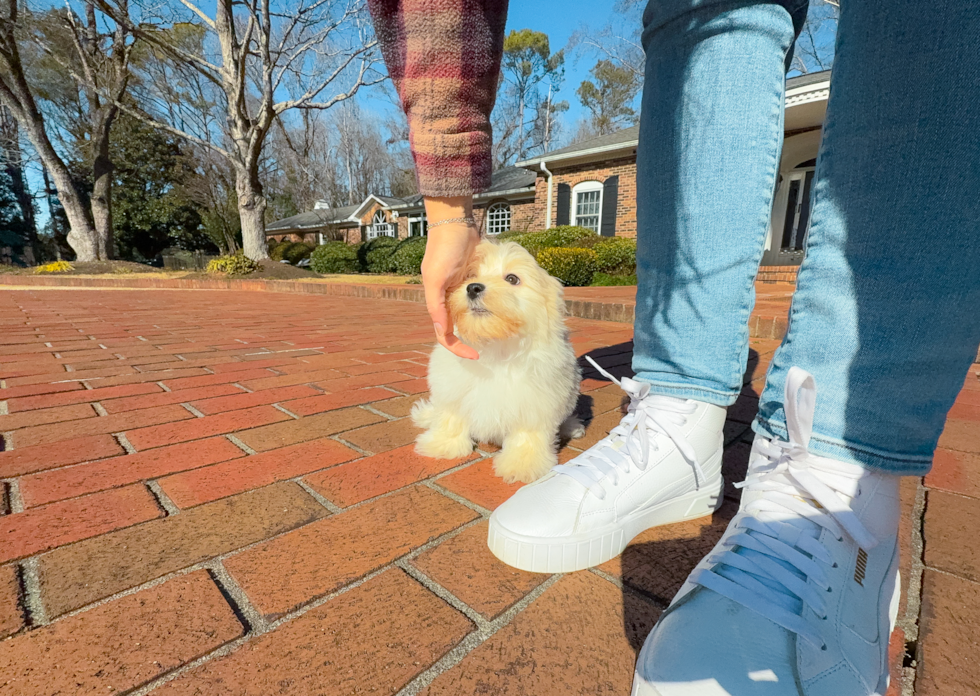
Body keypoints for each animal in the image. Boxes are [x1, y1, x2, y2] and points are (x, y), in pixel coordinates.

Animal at [412, 239, 580, 484]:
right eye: (471, 275)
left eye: (512, 279)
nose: (473, 287)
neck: (496, 346)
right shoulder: (453, 389)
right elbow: (451, 417)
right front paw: (443, 444)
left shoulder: (535, 401)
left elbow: (526, 435)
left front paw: (522, 464)